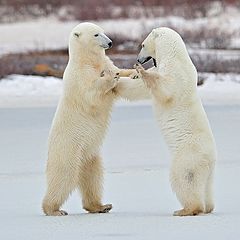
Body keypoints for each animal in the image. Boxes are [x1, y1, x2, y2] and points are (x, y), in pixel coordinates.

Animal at [42, 22, 149, 216]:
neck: (87, 60)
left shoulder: (104, 61)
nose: (111, 42)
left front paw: (135, 72)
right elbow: (91, 93)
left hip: (90, 154)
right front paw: (110, 76)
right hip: (67, 149)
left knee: (93, 177)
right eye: (96, 34)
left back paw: (101, 206)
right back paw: (54, 209)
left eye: (103, 32)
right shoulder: (80, 76)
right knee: (63, 177)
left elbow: (120, 72)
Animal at [135, 27, 218, 217]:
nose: (138, 59)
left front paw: (141, 71)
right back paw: (208, 207)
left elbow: (166, 89)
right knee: (207, 188)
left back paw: (185, 210)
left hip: (188, 157)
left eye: (142, 45)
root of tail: (209, 160)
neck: (175, 56)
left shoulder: (176, 73)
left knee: (183, 178)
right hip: (209, 172)